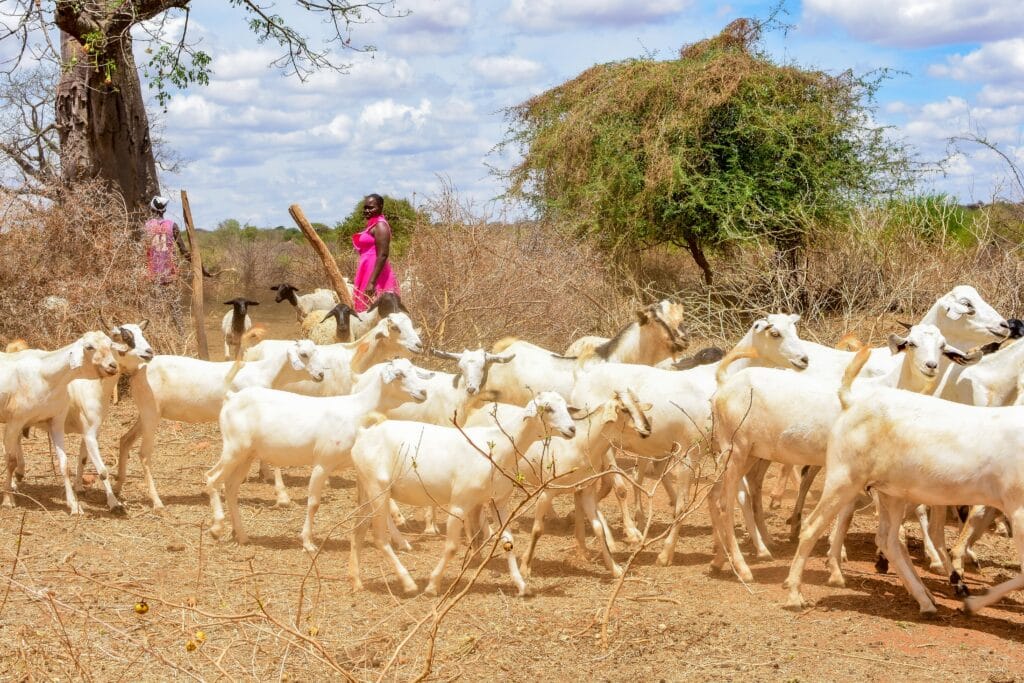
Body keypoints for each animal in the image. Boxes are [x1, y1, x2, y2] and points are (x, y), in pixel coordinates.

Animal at [1, 331, 121, 511]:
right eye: (89, 347)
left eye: (110, 344)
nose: (112, 366)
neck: (47, 376)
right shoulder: (16, 421)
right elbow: (10, 461)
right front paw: (8, 500)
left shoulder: (56, 421)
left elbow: (65, 464)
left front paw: (74, 505)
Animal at [118, 335, 323, 507]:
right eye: (303, 354)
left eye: (316, 351)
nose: (321, 374)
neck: (265, 373)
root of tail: (137, 371)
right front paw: (282, 496)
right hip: (150, 411)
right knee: (144, 454)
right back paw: (157, 502)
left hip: (145, 413)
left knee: (125, 440)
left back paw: (118, 488)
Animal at [205, 360, 430, 552]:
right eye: (399, 374)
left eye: (414, 371)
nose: (423, 392)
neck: (358, 411)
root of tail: (231, 398)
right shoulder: (323, 462)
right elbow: (313, 503)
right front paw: (308, 542)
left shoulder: (358, 467)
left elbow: (376, 504)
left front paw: (403, 543)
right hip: (234, 448)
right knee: (211, 478)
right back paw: (216, 528)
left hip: (247, 455)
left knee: (231, 487)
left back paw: (242, 535)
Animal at [350, 393, 577, 593]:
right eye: (548, 408)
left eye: (566, 407)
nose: (572, 429)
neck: (497, 447)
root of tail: (362, 435)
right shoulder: (460, 503)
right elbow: (451, 547)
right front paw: (433, 585)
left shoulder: (499, 503)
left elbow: (508, 542)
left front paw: (522, 586)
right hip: (378, 489)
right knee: (379, 538)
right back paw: (408, 583)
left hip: (367, 488)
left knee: (358, 529)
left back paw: (357, 581)